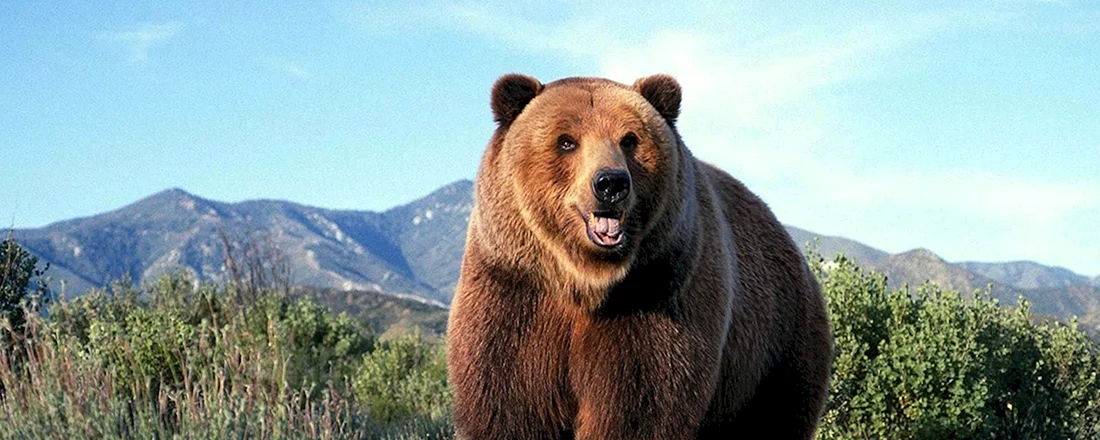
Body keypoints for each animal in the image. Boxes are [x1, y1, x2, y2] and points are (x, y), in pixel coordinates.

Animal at [447, 73, 832, 440]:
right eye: (566, 141)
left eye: (629, 139)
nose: (611, 183)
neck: (584, 280)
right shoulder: (514, 292)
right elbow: (508, 404)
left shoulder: (657, 294)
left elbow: (639, 408)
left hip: (775, 348)